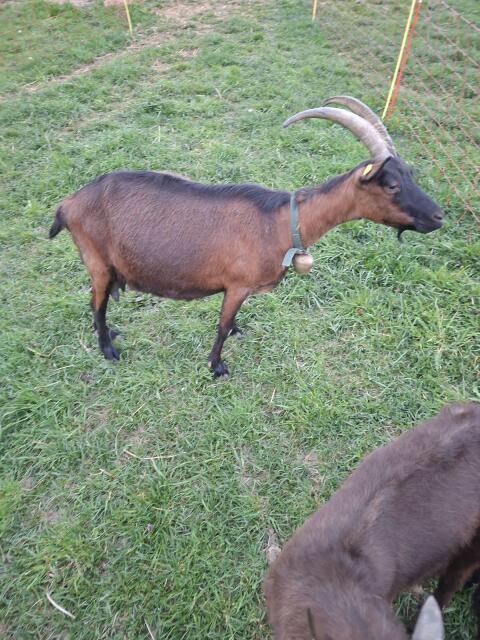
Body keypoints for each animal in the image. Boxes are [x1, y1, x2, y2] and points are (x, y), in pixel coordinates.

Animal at [49, 96, 443, 376]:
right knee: (96, 303)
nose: (439, 217)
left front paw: (239, 332)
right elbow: (221, 326)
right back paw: (108, 350)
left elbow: (231, 323)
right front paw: (217, 366)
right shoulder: (236, 284)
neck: (282, 222)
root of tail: (69, 204)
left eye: (410, 174)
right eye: (391, 185)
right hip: (97, 260)